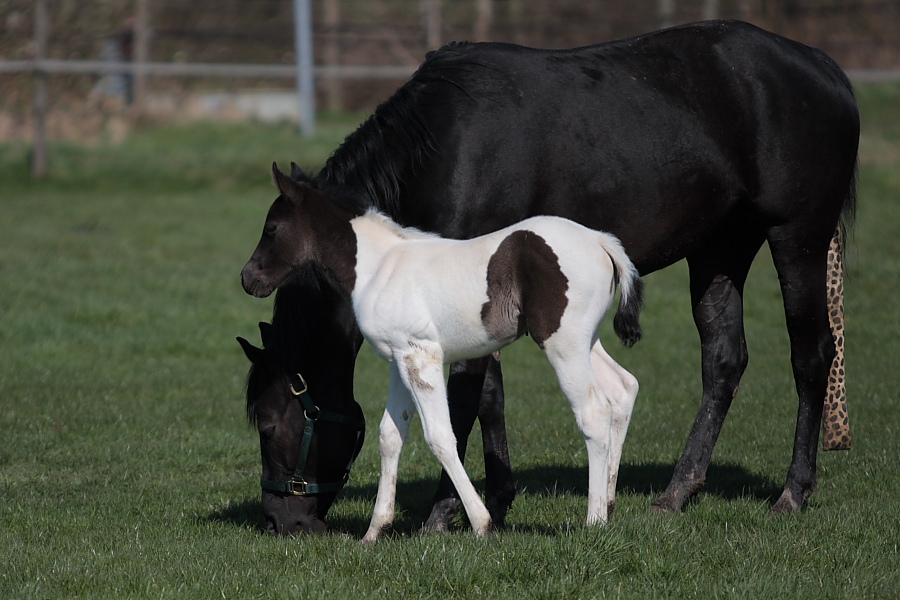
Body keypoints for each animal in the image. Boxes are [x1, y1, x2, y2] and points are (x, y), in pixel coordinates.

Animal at [237, 19, 856, 536]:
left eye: (267, 425)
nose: (279, 522)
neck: (449, 143)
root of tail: (825, 68)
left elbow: (462, 406)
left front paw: (446, 512)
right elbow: (487, 398)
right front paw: (495, 497)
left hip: (796, 239)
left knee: (811, 357)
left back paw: (792, 492)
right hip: (719, 249)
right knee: (723, 361)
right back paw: (675, 492)